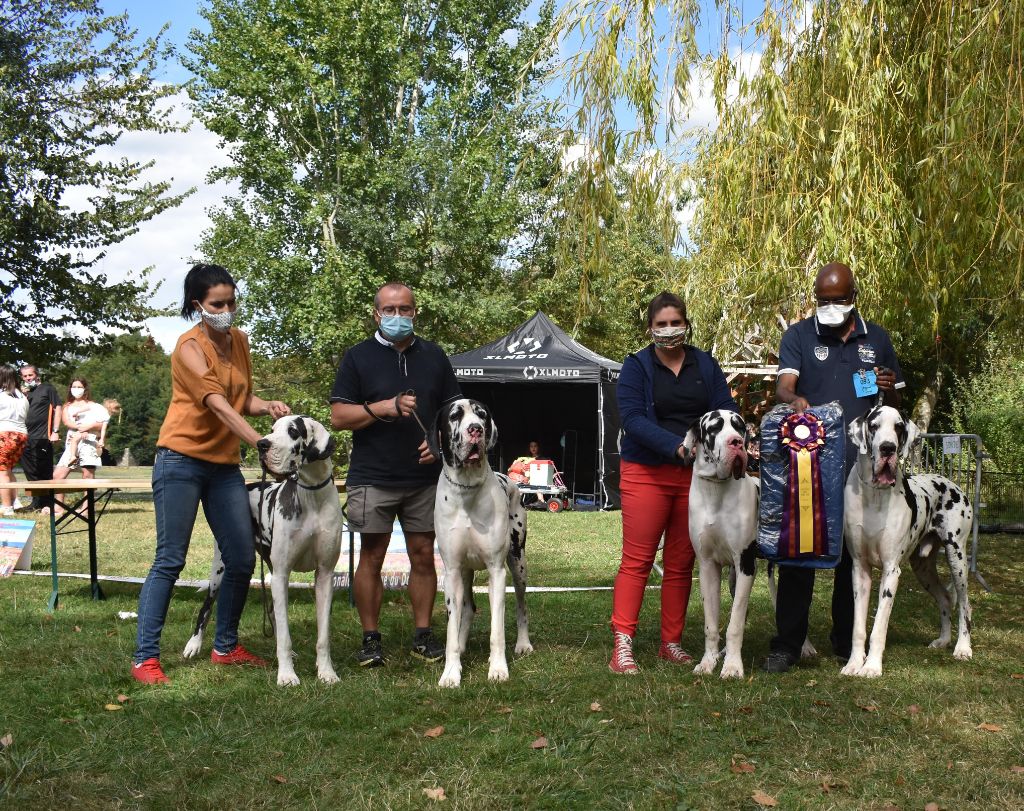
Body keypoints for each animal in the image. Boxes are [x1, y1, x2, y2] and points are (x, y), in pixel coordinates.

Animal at [182, 415, 342, 688]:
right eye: (272, 429)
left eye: (293, 431)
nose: (262, 444)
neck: (311, 496)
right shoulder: (282, 574)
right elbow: (285, 637)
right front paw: (287, 675)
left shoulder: (324, 575)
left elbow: (323, 636)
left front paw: (326, 673)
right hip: (222, 569)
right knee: (207, 607)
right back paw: (193, 645)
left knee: (273, 613)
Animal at [432, 395, 532, 688]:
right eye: (455, 415)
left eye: (482, 415)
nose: (475, 429)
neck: (466, 490)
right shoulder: (452, 571)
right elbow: (451, 631)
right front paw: (451, 672)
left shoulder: (496, 571)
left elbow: (497, 630)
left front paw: (498, 669)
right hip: (464, 574)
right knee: (467, 608)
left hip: (518, 563)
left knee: (521, 605)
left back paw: (523, 644)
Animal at [843, 405, 970, 679]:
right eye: (873, 426)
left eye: (899, 427)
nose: (888, 448)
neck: (874, 495)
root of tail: (953, 484)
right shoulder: (859, 569)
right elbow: (858, 627)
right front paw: (854, 663)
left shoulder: (891, 570)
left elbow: (879, 626)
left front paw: (871, 667)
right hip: (923, 568)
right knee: (945, 598)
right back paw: (943, 640)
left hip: (957, 559)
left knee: (965, 605)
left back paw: (963, 648)